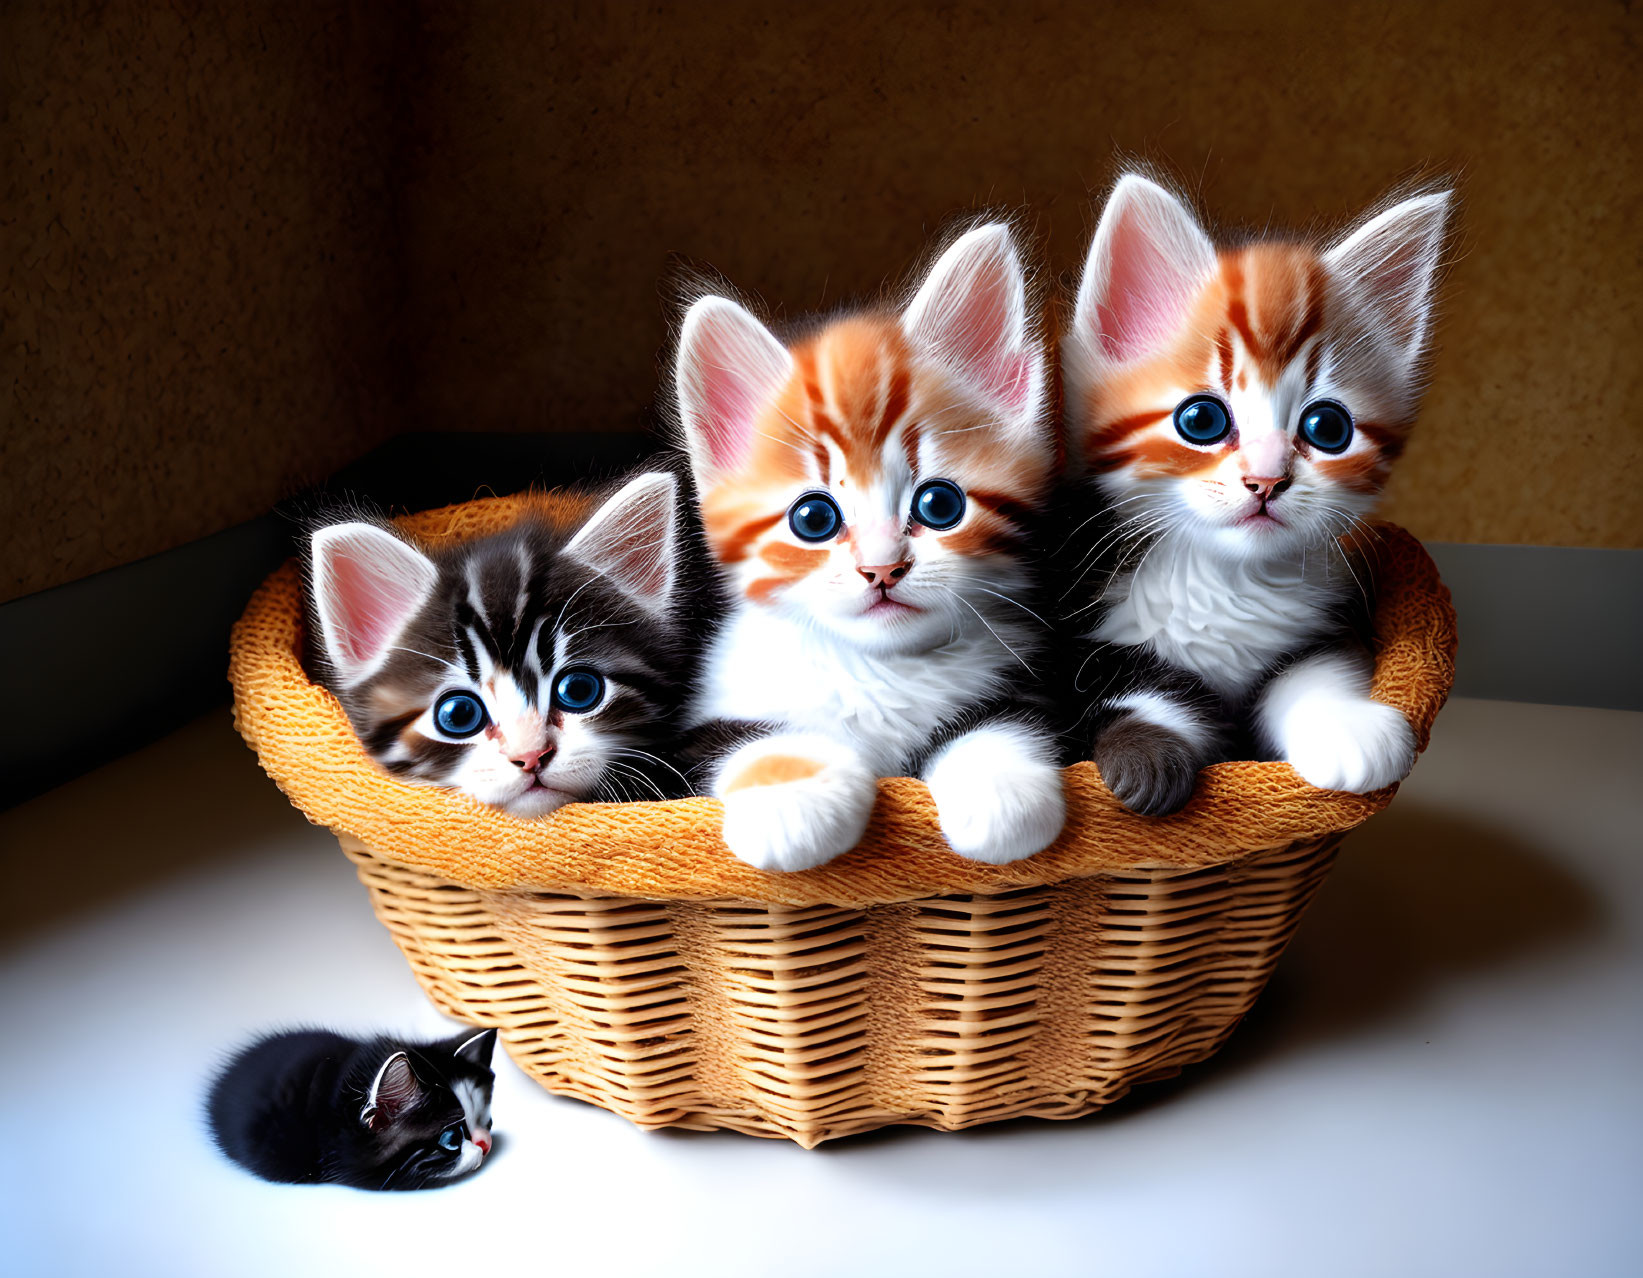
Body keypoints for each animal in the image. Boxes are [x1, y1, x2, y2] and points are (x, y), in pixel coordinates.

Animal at [1058, 174, 1445, 811]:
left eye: (1328, 428)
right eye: (1201, 420)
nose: (1267, 480)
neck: (1225, 580)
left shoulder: (1324, 623)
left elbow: (1314, 670)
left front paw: (1348, 728)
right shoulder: (1092, 628)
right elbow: (1145, 686)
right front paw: (1147, 753)